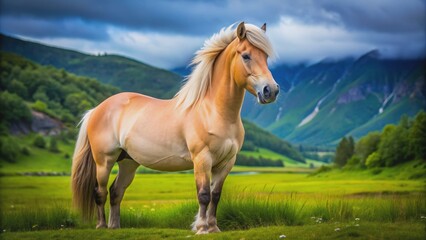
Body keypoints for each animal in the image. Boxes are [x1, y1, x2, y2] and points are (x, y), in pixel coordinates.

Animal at [71, 21, 280, 234]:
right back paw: (102, 226)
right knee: (100, 192)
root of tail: (96, 109)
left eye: (265, 57)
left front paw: (213, 227)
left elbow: (216, 195)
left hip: (128, 162)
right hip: (104, 161)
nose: (271, 91)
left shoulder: (227, 162)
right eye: (246, 56)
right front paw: (202, 228)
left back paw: (115, 227)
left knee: (115, 192)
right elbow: (204, 194)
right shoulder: (202, 159)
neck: (213, 112)